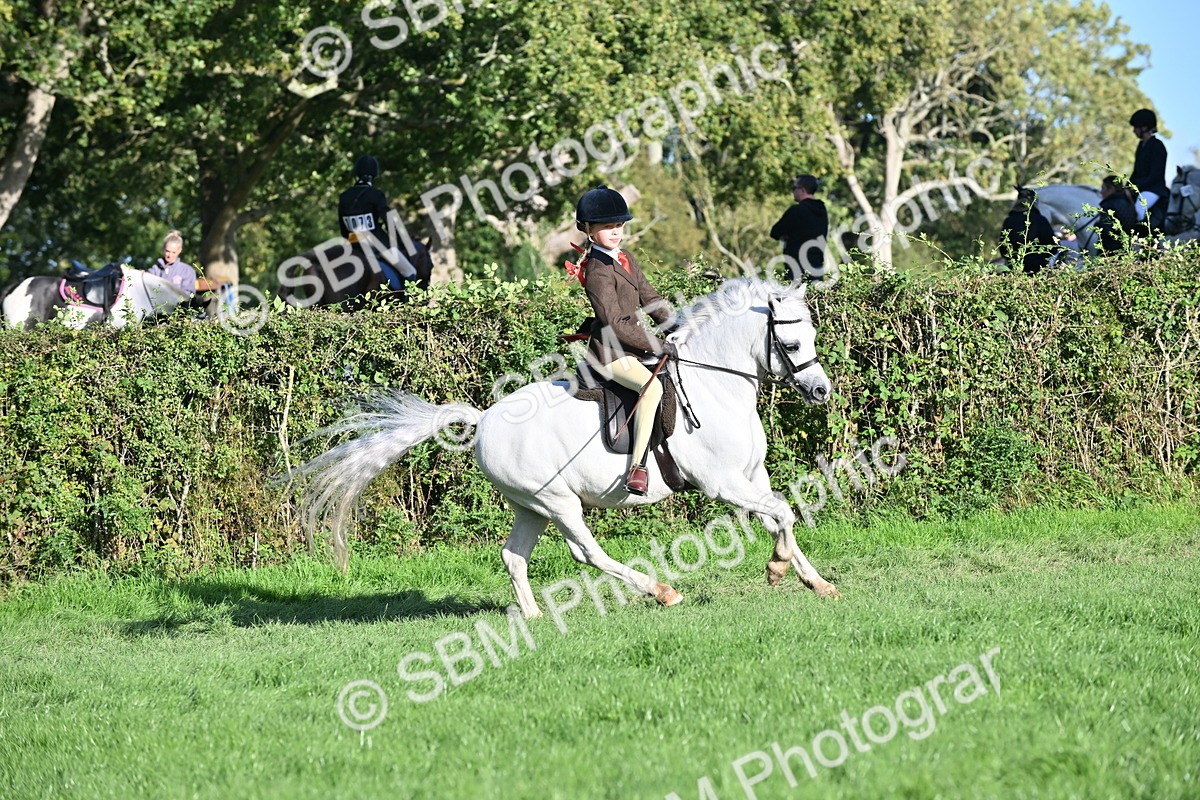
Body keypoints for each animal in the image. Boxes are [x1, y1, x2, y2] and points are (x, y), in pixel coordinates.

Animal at [292, 278, 837, 618]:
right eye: (791, 345)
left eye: (812, 335)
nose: (821, 392)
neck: (715, 384)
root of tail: (484, 421)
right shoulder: (721, 483)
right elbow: (783, 513)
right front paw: (777, 570)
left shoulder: (751, 476)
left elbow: (780, 516)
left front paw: (814, 581)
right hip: (558, 502)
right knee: (586, 552)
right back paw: (660, 591)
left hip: (529, 506)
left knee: (513, 556)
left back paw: (533, 615)